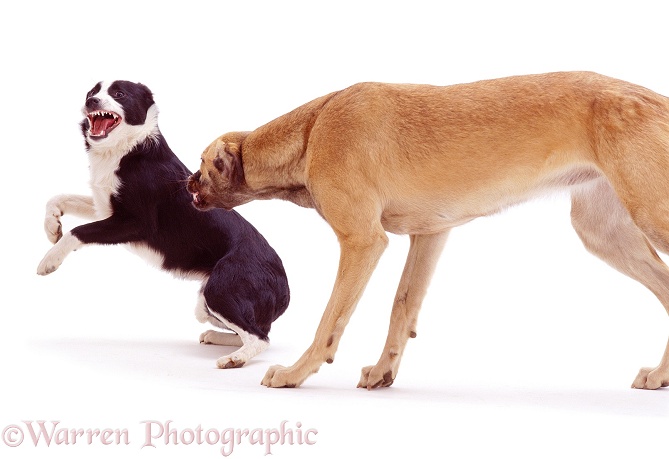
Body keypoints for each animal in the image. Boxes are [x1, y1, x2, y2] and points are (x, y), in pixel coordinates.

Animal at [185, 72, 668, 392]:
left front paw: (294, 374)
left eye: (204, 165)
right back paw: (661, 376)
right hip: (605, 234)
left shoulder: (363, 242)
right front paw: (383, 371)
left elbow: (330, 320)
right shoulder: (430, 235)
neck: (312, 129)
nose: (186, 183)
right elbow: (402, 307)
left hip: (649, 217)